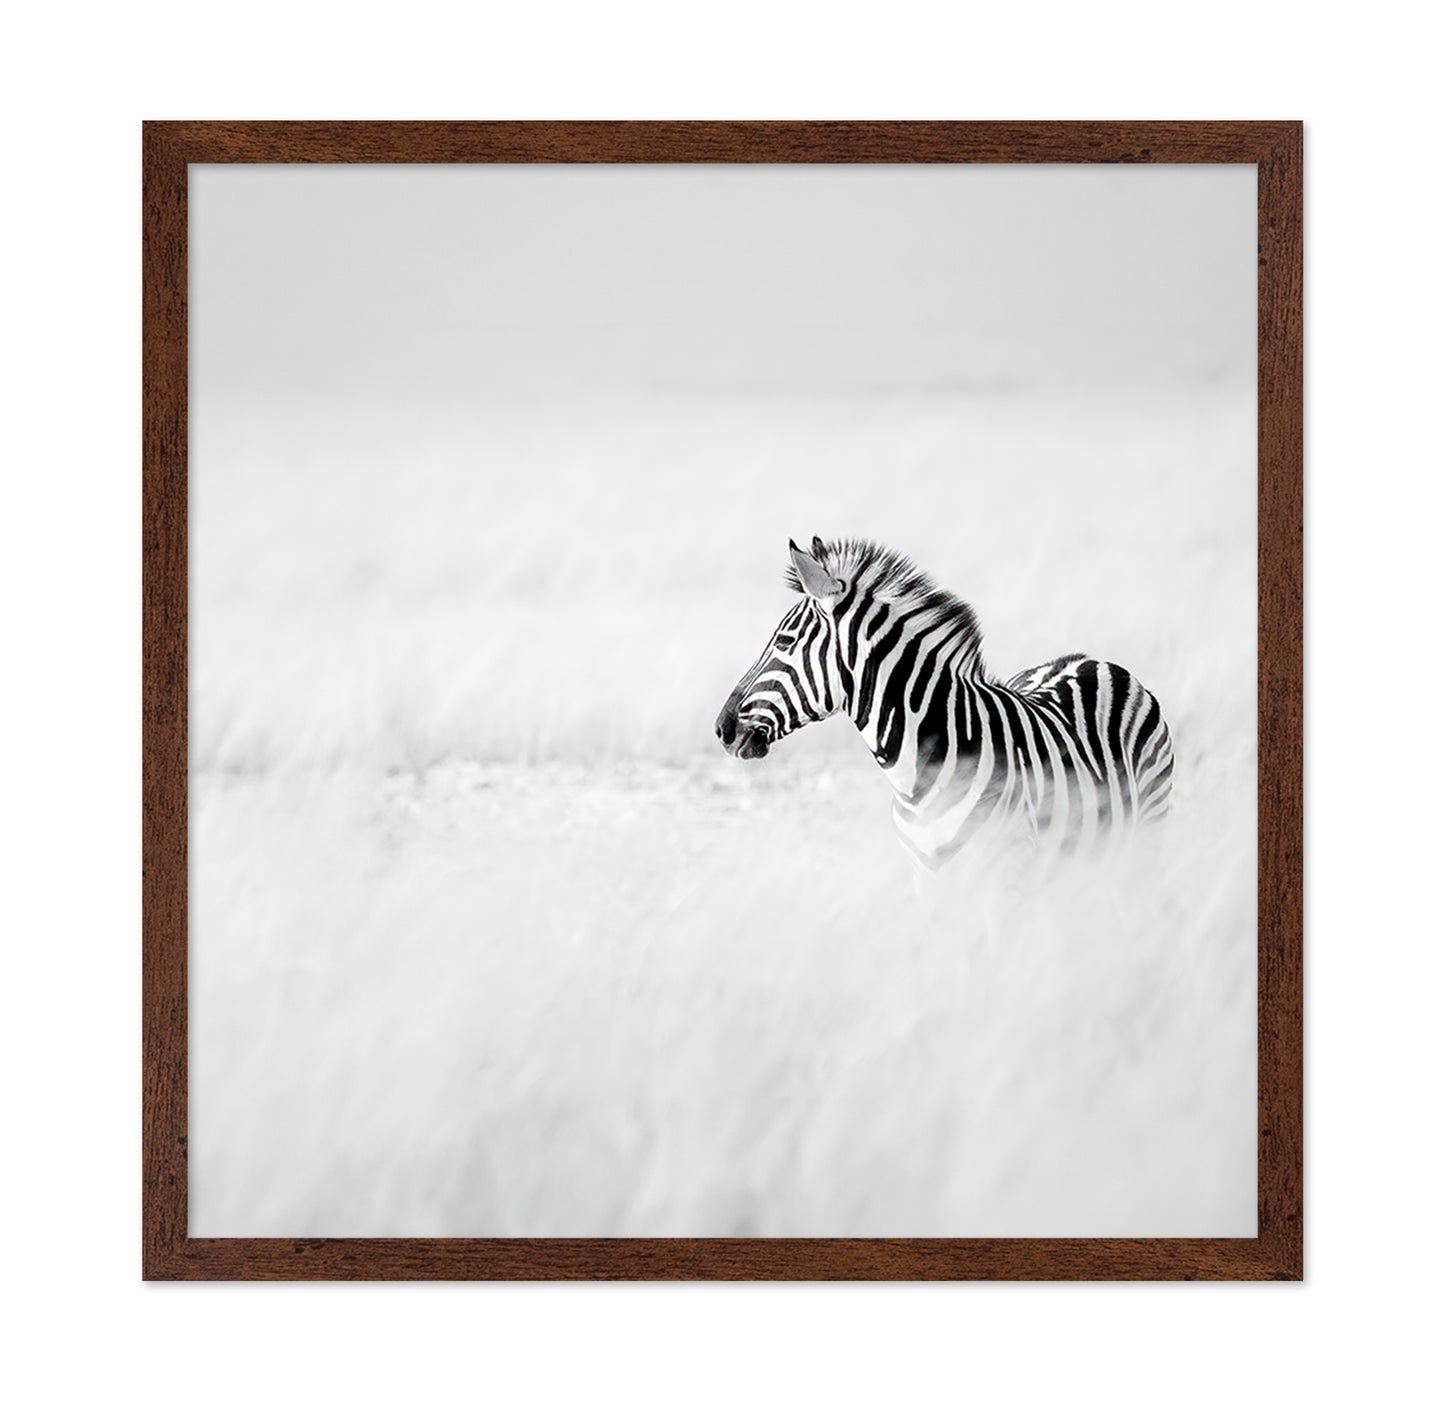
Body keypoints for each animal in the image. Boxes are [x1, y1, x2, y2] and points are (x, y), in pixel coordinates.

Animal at [714, 537, 1174, 868]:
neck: (915, 778)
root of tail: (1088, 659)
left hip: (1150, 828)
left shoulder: (1010, 870)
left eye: (784, 642)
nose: (722, 728)